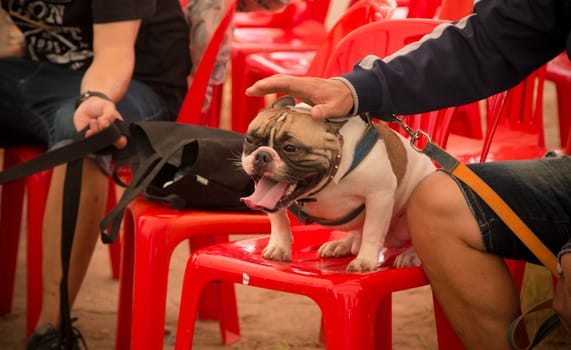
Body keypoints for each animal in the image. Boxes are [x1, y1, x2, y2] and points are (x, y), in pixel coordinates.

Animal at [240, 95, 434, 270]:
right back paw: (342, 245)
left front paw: (365, 260)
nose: (262, 155)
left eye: (290, 148)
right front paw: (279, 247)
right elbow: (279, 220)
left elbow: (372, 231)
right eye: (249, 140)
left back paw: (410, 256)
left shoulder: (379, 195)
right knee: (358, 233)